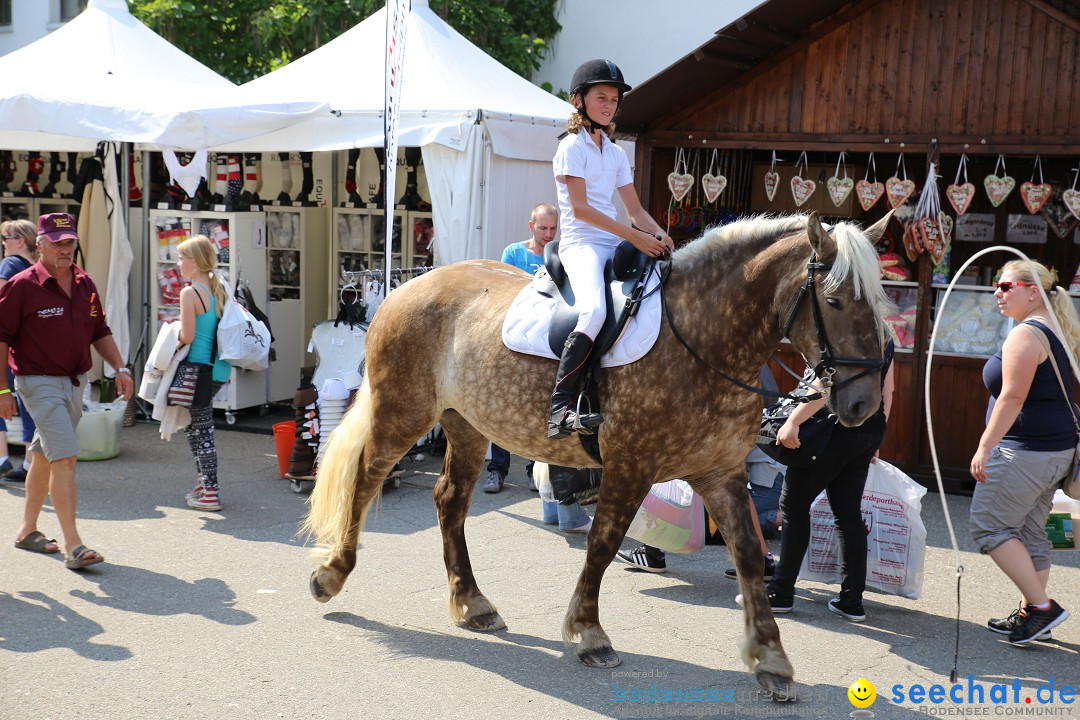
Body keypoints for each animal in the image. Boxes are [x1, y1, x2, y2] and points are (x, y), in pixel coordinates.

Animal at [306, 211, 894, 695]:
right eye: (835, 301)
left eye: (880, 301)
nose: (864, 404)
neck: (703, 340)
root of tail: (408, 286)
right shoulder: (631, 466)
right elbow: (604, 544)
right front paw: (590, 634)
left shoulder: (720, 471)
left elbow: (748, 554)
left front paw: (770, 658)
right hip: (401, 414)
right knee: (365, 480)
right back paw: (331, 574)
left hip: (468, 426)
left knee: (449, 501)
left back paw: (472, 603)